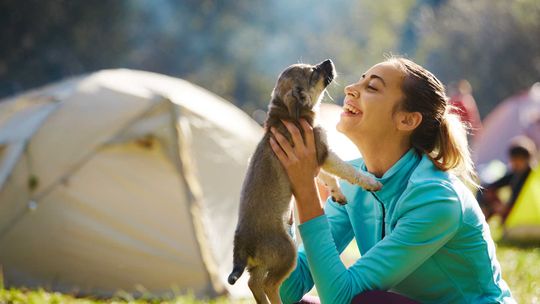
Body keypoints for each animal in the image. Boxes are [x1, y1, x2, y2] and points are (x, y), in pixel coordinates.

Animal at [227, 60, 380, 304]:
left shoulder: (316, 160)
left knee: (254, 284)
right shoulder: (322, 152)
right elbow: (345, 169)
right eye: (313, 72)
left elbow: (329, 177)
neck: (287, 115)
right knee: (269, 285)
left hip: (263, 263)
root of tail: (241, 245)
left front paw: (337, 194)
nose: (328, 61)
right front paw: (369, 182)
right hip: (286, 253)